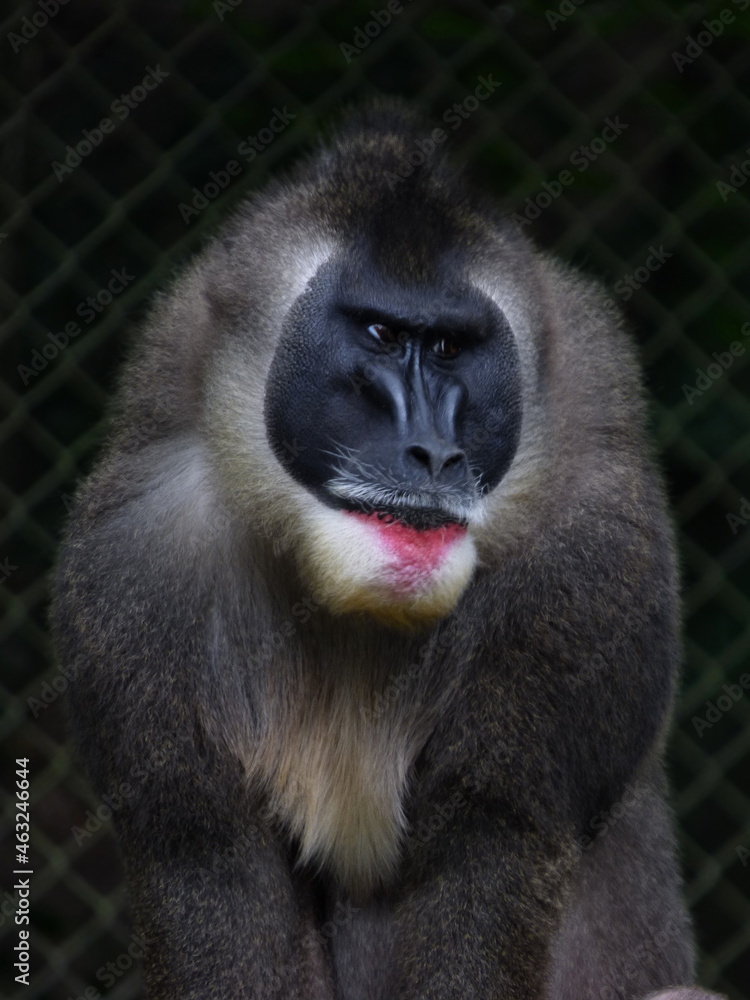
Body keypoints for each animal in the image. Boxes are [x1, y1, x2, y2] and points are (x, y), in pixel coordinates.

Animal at [50, 104, 725, 1000]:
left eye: (447, 349)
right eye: (378, 333)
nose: (432, 453)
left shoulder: (585, 567)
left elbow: (488, 850)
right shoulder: (137, 570)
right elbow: (208, 863)